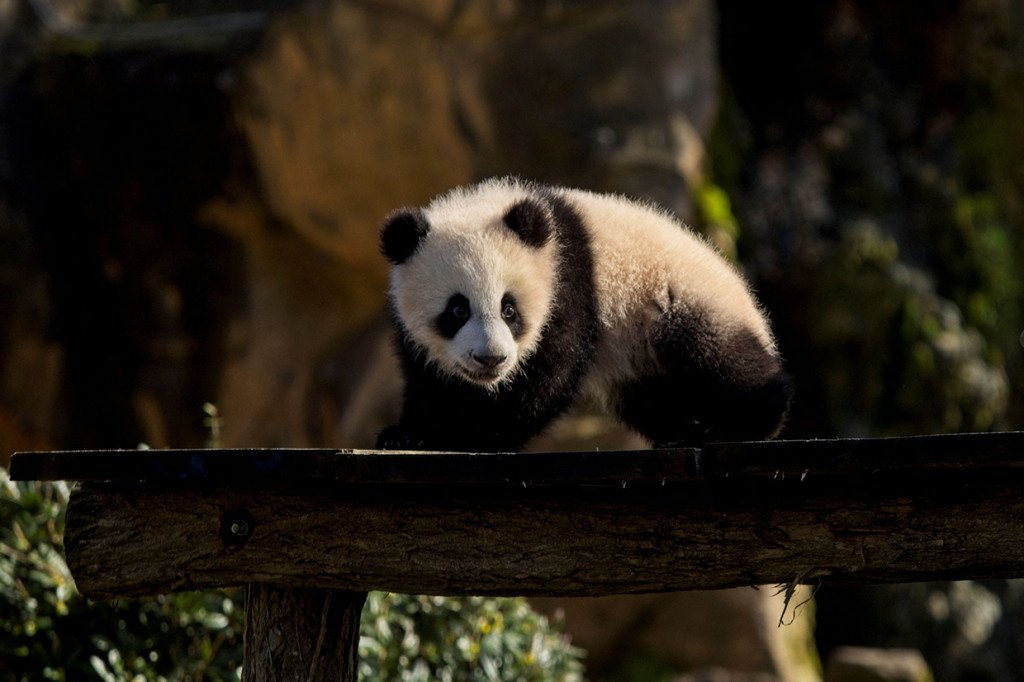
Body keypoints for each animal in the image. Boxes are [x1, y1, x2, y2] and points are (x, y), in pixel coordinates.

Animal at [376, 177, 790, 452]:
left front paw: (476, 433)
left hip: (680, 300)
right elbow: (426, 377)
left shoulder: (568, 280)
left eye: (509, 309)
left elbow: (549, 374)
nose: (491, 358)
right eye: (457, 310)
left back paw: (742, 421)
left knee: (717, 356)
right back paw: (680, 429)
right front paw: (409, 432)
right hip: (636, 360)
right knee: (651, 396)